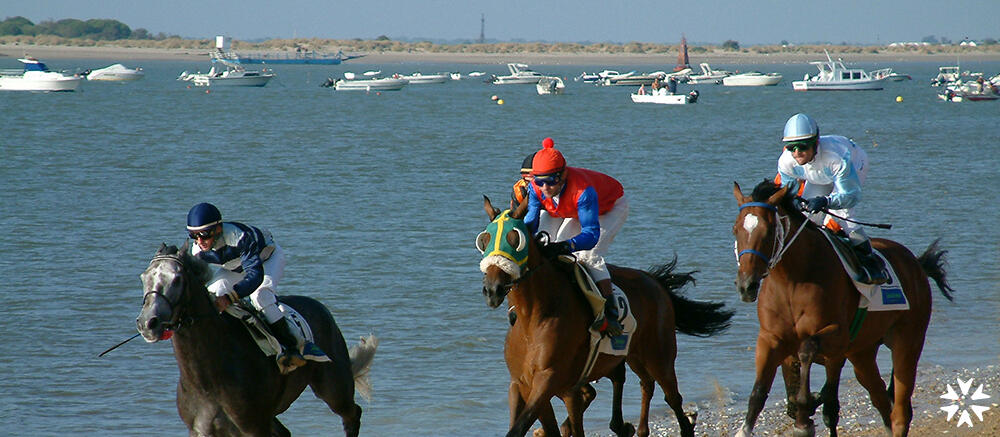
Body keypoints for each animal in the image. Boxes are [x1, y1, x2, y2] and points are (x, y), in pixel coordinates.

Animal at [135, 244, 376, 434]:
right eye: (144, 277)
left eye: (176, 279)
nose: (148, 323)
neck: (209, 379)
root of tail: (321, 308)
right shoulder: (203, 429)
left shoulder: (254, 427)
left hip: (334, 388)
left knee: (352, 414)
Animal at [480, 197, 732, 436]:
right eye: (483, 240)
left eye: (515, 239)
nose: (492, 289)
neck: (533, 317)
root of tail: (654, 280)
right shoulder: (522, 383)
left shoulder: (551, 379)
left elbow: (527, 427)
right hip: (631, 355)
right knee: (640, 382)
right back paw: (632, 427)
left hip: (659, 355)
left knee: (671, 396)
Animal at [736, 181, 952, 436]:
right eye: (736, 230)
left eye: (769, 232)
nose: (746, 285)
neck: (792, 281)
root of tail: (916, 264)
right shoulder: (770, 339)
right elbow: (758, 393)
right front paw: (746, 428)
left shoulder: (837, 337)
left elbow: (807, 350)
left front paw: (804, 414)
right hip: (863, 354)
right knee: (881, 398)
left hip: (908, 341)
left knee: (900, 410)